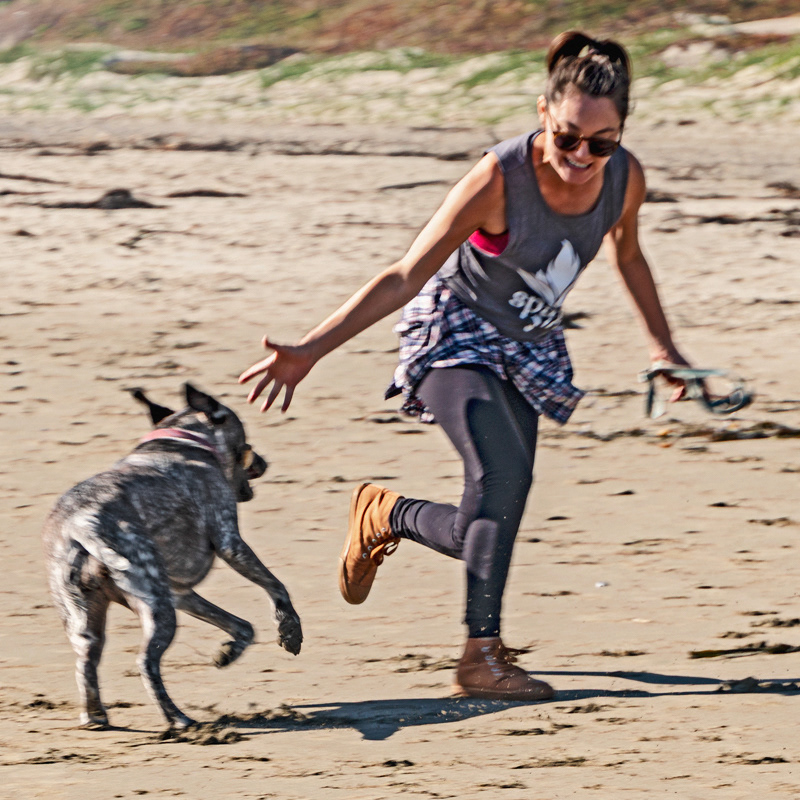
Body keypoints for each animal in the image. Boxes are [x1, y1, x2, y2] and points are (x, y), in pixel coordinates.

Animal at [42, 383, 302, 729]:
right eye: (247, 444)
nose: (262, 461)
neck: (184, 440)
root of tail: (79, 525)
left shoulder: (180, 593)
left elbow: (243, 627)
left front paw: (228, 652)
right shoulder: (230, 542)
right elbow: (277, 588)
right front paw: (290, 631)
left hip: (90, 621)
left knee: (87, 663)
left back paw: (96, 717)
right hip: (159, 610)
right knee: (146, 662)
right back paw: (177, 718)